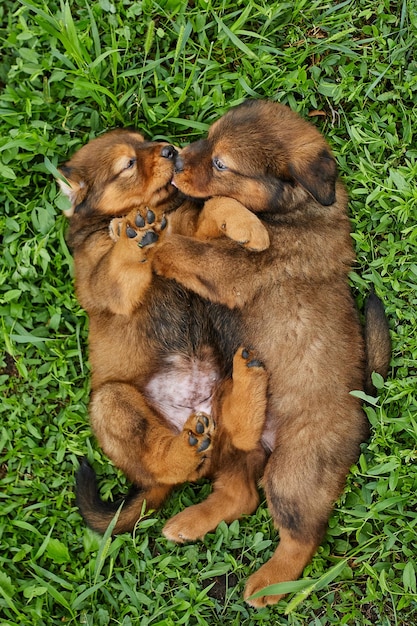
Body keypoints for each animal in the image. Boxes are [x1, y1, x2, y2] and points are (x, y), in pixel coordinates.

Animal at [60, 129, 268, 532]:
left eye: (143, 140)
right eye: (127, 163)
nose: (171, 150)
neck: (162, 212)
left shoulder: (189, 236)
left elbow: (215, 204)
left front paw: (248, 226)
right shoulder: (104, 286)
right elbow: (119, 258)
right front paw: (130, 230)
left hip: (222, 381)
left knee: (239, 435)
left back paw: (249, 379)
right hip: (111, 403)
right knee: (167, 466)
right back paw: (184, 448)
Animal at [151, 98, 392, 604]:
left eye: (222, 164)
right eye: (207, 137)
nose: (177, 159)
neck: (295, 208)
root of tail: (364, 404)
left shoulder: (231, 270)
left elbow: (188, 248)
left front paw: (147, 238)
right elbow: (205, 219)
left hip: (295, 470)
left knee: (302, 535)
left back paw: (268, 584)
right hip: (225, 434)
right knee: (240, 495)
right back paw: (189, 522)